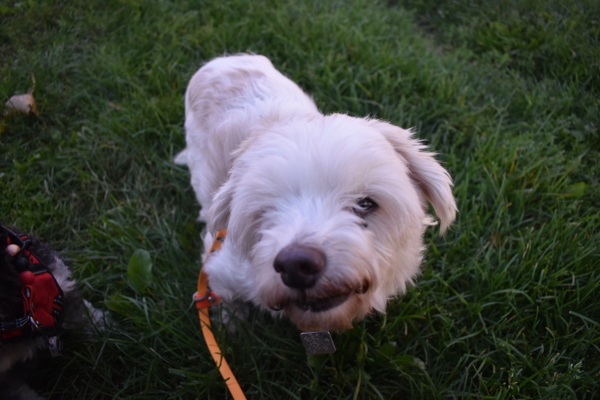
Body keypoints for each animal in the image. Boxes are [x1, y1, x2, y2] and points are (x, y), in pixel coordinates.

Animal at [176, 55, 458, 332]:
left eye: (366, 204)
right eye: (266, 212)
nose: (296, 265)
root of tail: (223, 59)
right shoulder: (220, 264)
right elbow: (225, 296)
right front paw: (231, 322)